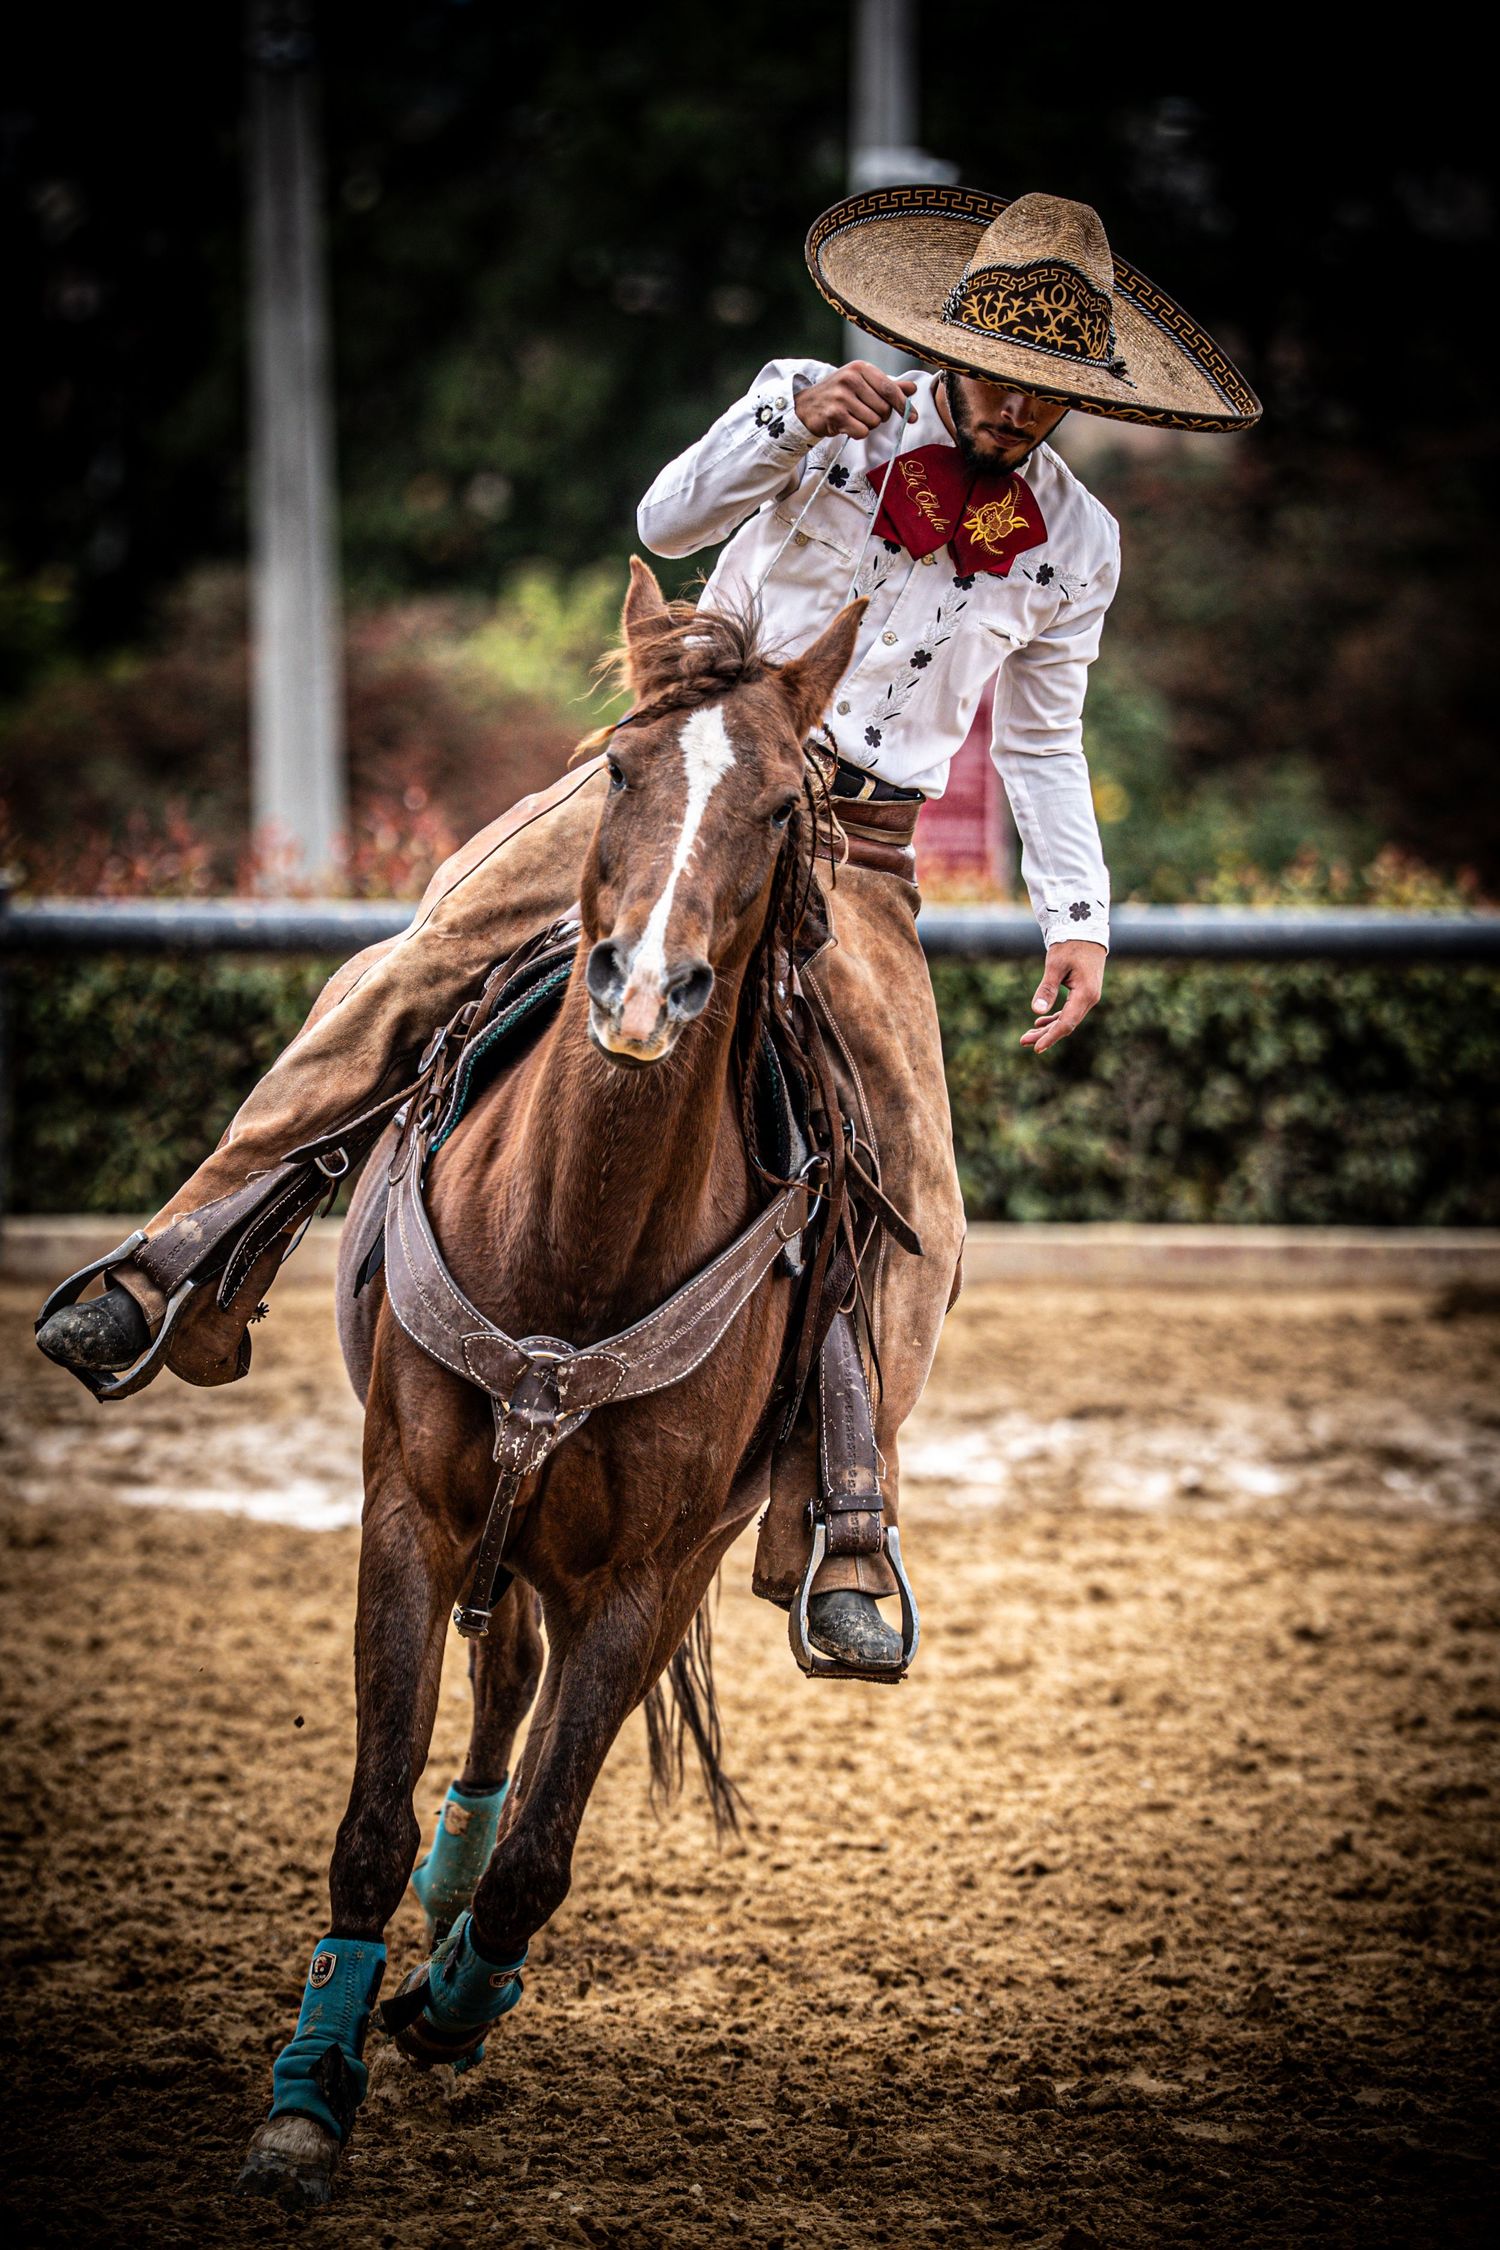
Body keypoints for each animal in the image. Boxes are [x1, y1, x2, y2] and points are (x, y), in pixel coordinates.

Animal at [237, 560, 962, 2208]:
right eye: (623, 770)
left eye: (778, 805)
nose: (642, 993)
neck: (573, 1249)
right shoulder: (405, 1514)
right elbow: (368, 1815)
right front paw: (309, 2092)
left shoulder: (646, 1570)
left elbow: (546, 1853)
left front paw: (451, 2001)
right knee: (502, 1673)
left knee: (535, 1700)